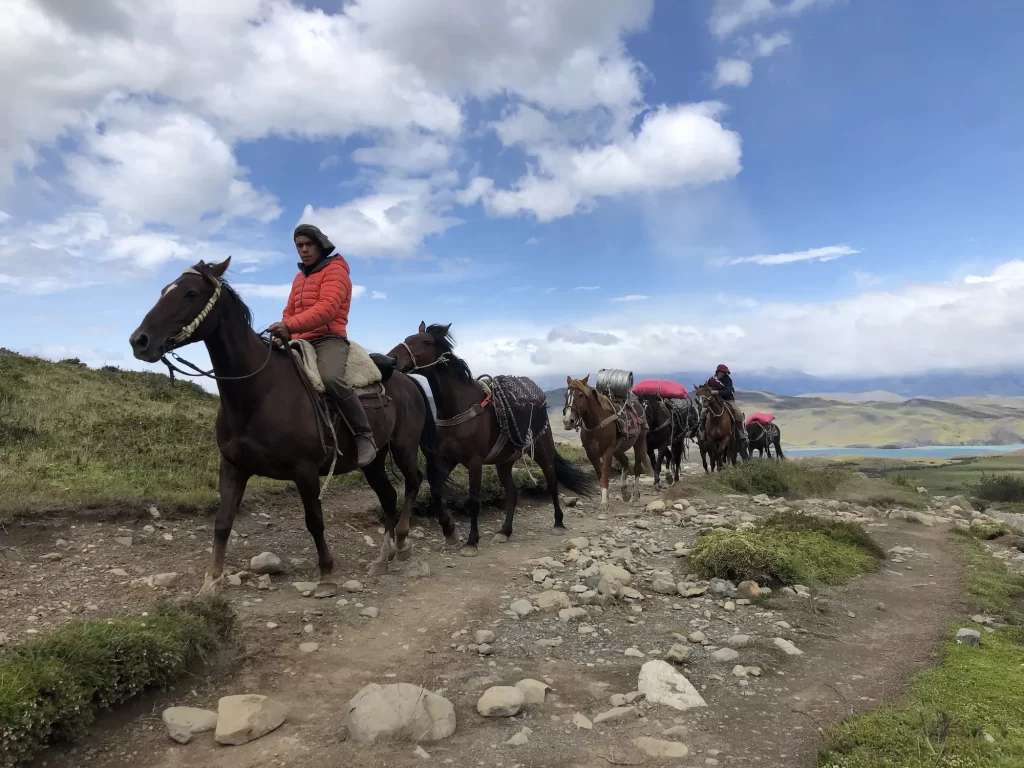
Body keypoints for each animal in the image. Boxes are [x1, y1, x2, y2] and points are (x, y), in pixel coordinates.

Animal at [129, 259, 452, 593]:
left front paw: (326, 574)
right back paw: (382, 557)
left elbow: (314, 521)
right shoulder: (233, 467)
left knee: (413, 482)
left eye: (191, 293)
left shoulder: (305, 471)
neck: (258, 391)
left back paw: (401, 544)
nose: (140, 341)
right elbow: (222, 523)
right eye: (164, 290)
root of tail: (408, 380)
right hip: (373, 459)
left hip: (403, 447)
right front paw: (212, 581)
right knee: (388, 495)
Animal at [387, 321, 598, 557]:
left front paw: (471, 542)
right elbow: (436, 490)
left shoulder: (474, 462)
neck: (458, 406)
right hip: (504, 463)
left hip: (543, 452)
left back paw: (558, 523)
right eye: (407, 338)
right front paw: (450, 531)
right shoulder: (447, 459)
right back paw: (505, 531)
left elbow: (473, 501)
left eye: (425, 341)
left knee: (552, 483)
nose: (392, 359)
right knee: (513, 493)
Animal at [561, 376, 647, 505]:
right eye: (566, 395)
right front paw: (606, 498)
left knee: (637, 467)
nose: (568, 421)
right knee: (625, 461)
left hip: (639, 442)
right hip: (618, 449)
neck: (596, 424)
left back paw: (636, 494)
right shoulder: (591, 453)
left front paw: (604, 503)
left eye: (581, 395)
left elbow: (605, 476)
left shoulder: (607, 451)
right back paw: (624, 492)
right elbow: (600, 475)